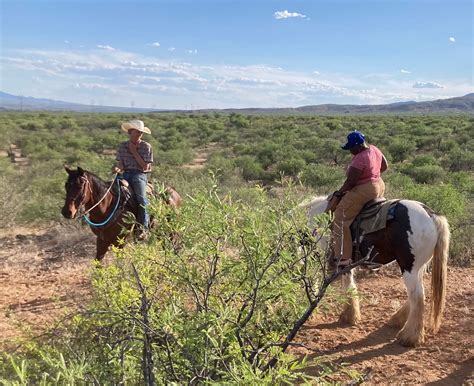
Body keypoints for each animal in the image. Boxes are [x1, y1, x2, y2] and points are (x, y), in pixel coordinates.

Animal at [302, 193, 450, 346]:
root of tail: (431, 215)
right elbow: (348, 283)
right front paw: (350, 315)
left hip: (409, 267)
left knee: (417, 295)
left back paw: (409, 337)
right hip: (418, 268)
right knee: (416, 294)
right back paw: (397, 320)